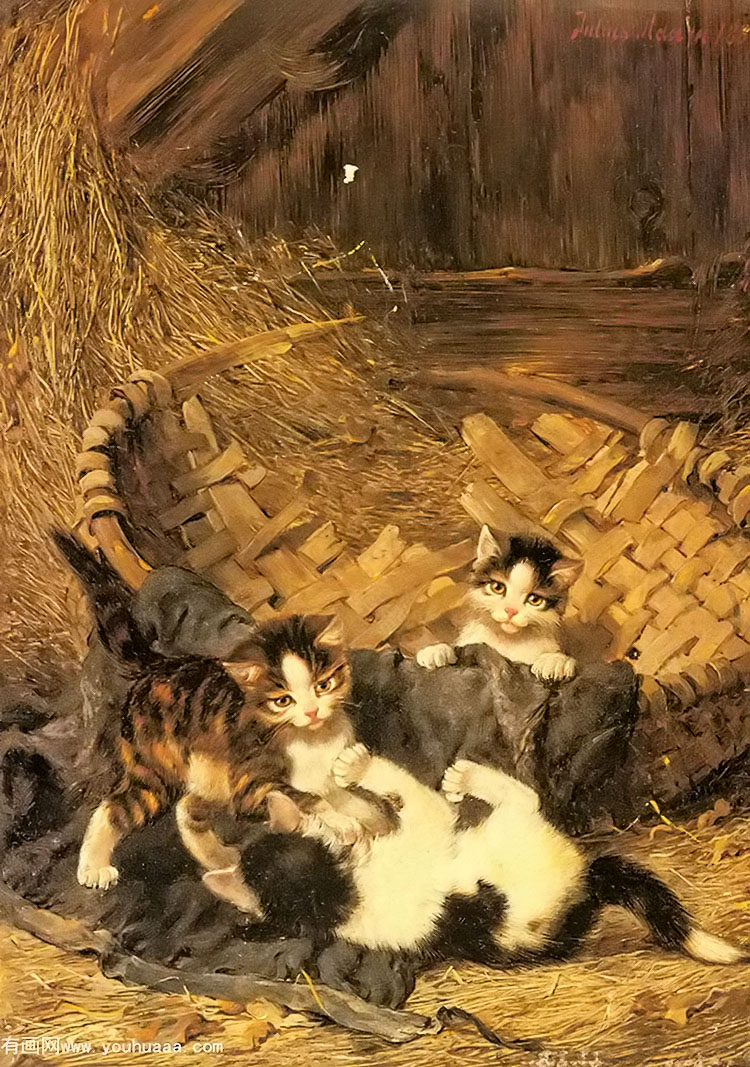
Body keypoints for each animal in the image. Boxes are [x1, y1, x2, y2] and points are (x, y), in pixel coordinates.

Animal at [203, 746, 746, 973]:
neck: (335, 891)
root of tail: (586, 888)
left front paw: (345, 795)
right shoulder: (431, 824)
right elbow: (407, 789)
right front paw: (357, 766)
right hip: (513, 828)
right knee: (526, 797)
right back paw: (464, 778)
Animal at [420, 524, 584, 682]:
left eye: (534, 600)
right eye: (498, 588)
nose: (511, 610)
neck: (508, 641)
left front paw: (556, 661)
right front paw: (437, 651)